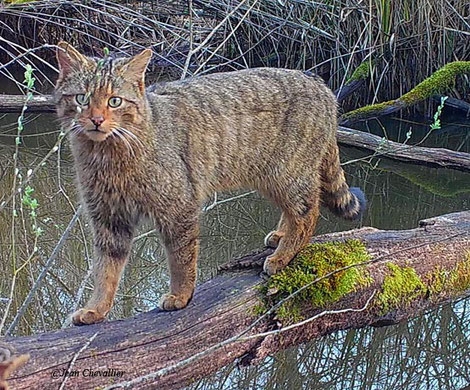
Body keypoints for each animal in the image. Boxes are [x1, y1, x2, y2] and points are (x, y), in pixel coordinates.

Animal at [54, 41, 364, 324]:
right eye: (82, 98)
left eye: (115, 101)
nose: (96, 119)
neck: (108, 156)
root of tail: (320, 84)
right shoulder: (109, 218)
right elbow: (105, 271)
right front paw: (96, 309)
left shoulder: (178, 207)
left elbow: (181, 259)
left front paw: (180, 296)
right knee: (296, 210)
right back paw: (280, 236)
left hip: (287, 173)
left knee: (308, 213)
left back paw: (283, 255)